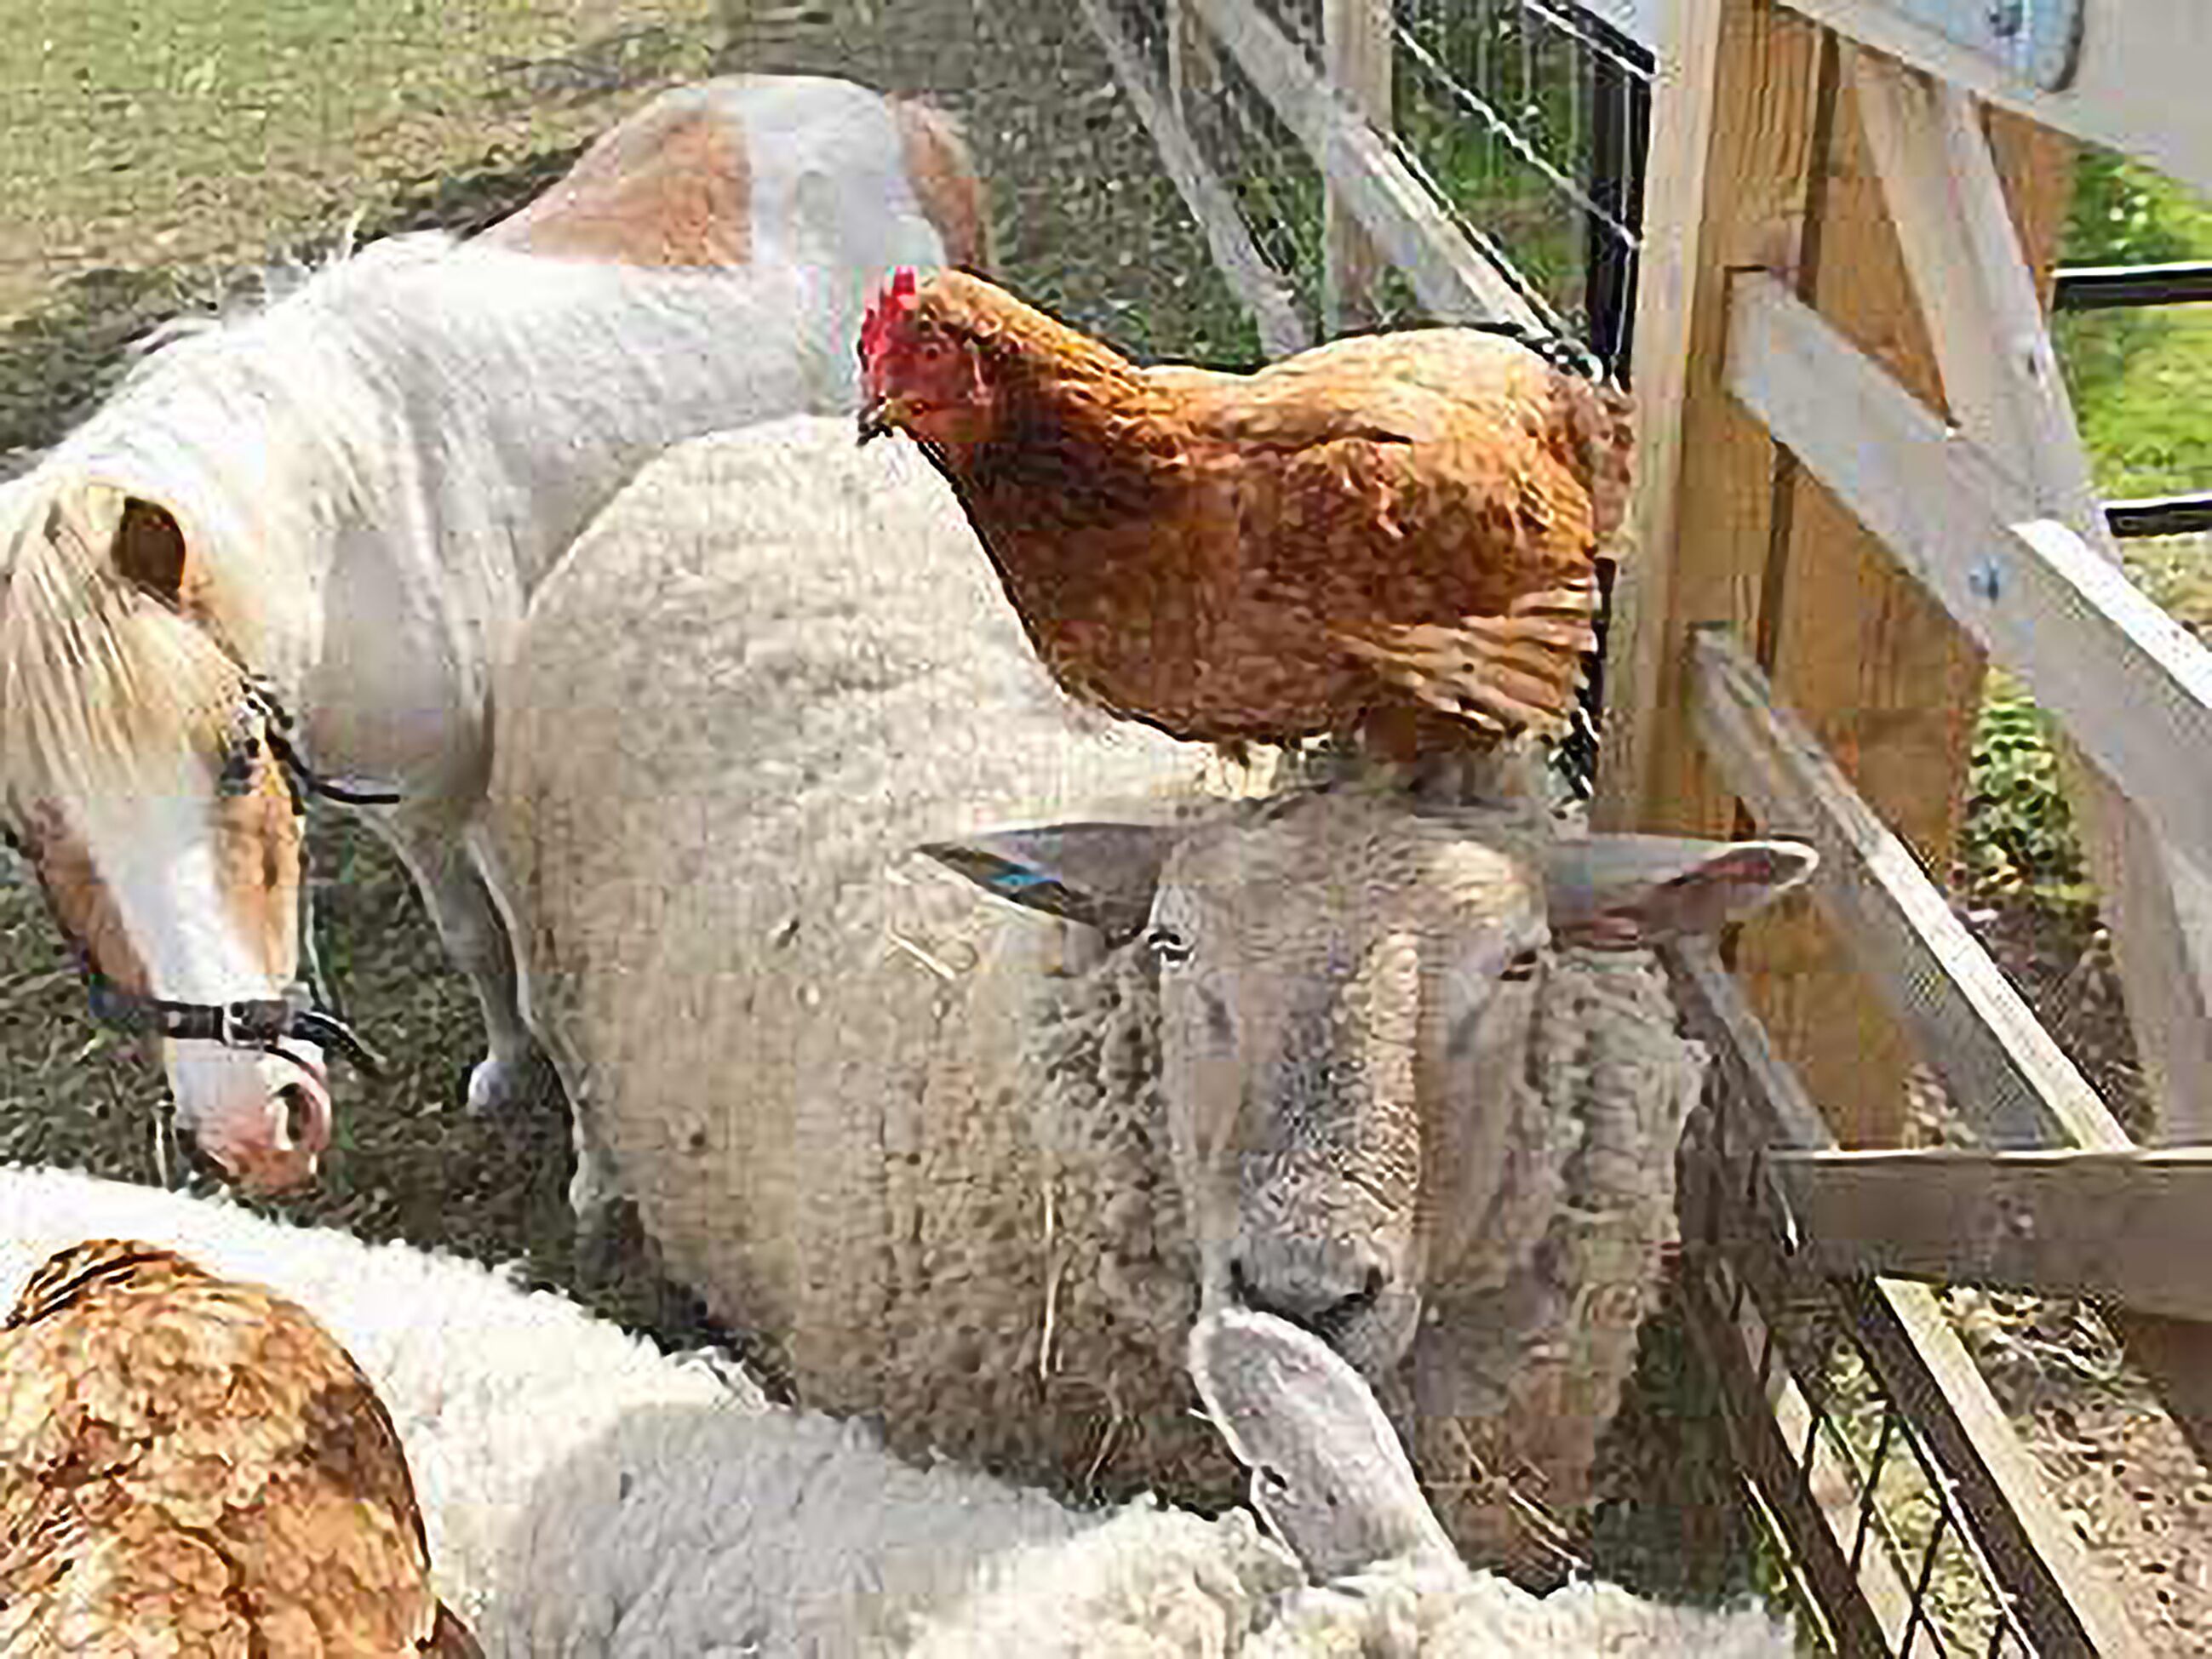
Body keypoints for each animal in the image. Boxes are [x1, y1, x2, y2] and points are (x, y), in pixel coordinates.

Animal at [0, 74, 988, 1205]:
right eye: (21, 833)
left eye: (239, 755)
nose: (255, 1127)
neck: (353, 535)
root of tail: (896, 115)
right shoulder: (407, 803)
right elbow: (472, 941)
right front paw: (506, 1067)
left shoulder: (502, 797)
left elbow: (545, 972)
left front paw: (595, 1175)